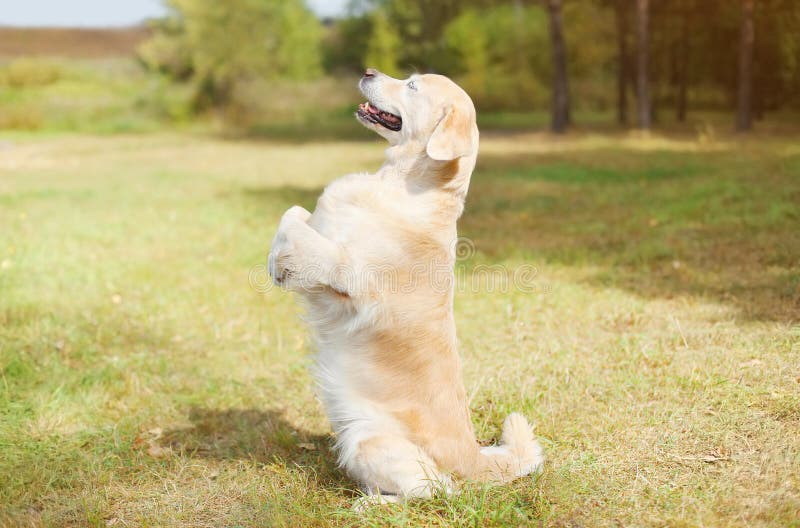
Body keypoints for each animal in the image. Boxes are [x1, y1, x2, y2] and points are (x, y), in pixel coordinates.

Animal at [268, 68, 544, 506]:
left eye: (412, 86)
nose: (368, 71)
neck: (404, 184)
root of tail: (473, 456)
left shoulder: (348, 272)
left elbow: (297, 226)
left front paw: (281, 263)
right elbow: (293, 213)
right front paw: (278, 262)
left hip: (370, 440)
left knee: (435, 491)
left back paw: (370, 504)